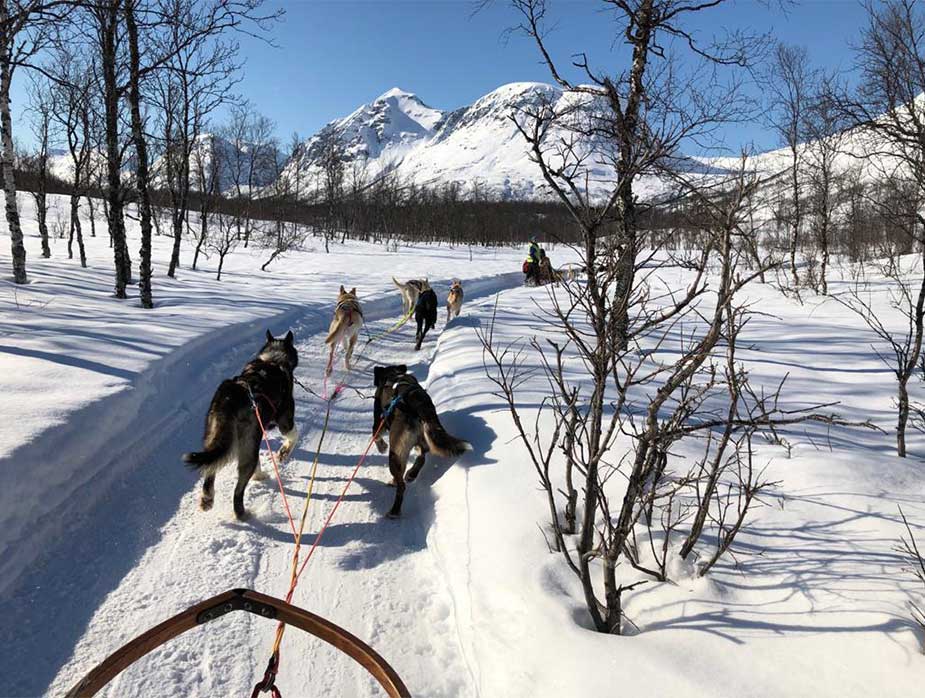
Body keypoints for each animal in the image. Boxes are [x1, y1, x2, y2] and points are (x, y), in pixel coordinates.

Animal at [180, 328, 296, 520]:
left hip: (216, 436)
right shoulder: (285, 420)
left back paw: (207, 499)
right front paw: (283, 452)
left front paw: (260, 475)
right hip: (247, 446)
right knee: (238, 489)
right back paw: (241, 513)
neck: (273, 360)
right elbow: (293, 437)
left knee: (210, 468)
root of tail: (231, 398)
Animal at [372, 364, 470, 516]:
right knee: (422, 457)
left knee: (401, 485)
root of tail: (416, 405)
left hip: (396, 453)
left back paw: (394, 511)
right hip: (419, 441)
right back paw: (411, 474)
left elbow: (375, 435)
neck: (393, 374)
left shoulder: (379, 421)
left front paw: (382, 446)